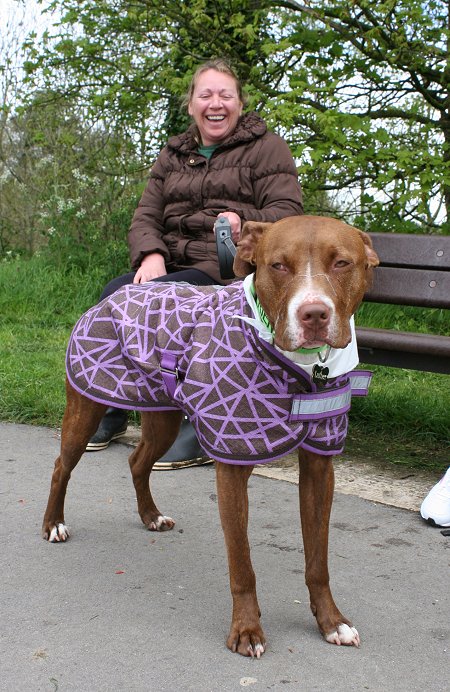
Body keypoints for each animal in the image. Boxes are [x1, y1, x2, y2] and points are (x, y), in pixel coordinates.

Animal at [43, 215, 380, 656]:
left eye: (342, 263)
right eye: (278, 265)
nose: (314, 314)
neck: (300, 369)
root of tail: (117, 294)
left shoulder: (319, 471)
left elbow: (317, 560)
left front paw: (331, 621)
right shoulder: (232, 470)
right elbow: (242, 563)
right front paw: (247, 629)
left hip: (163, 419)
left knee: (137, 461)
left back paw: (150, 515)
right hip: (85, 408)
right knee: (61, 466)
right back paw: (54, 523)